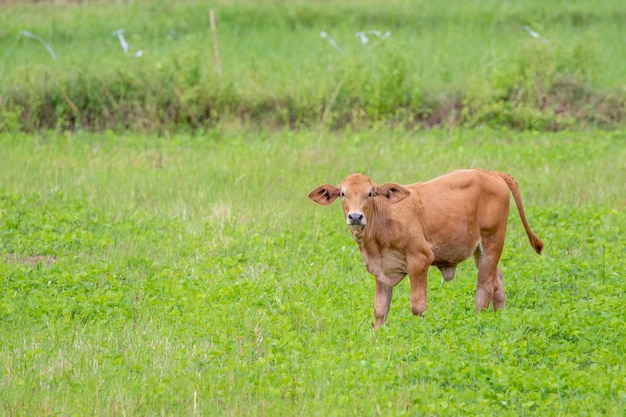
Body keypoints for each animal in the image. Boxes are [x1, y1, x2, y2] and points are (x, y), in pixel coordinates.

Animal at [308, 169, 540, 328]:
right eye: (342, 193)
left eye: (370, 193)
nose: (355, 216)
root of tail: (491, 173)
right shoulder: (381, 271)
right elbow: (380, 309)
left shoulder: (419, 261)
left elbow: (418, 305)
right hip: (480, 251)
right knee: (497, 282)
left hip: (492, 243)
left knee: (485, 288)